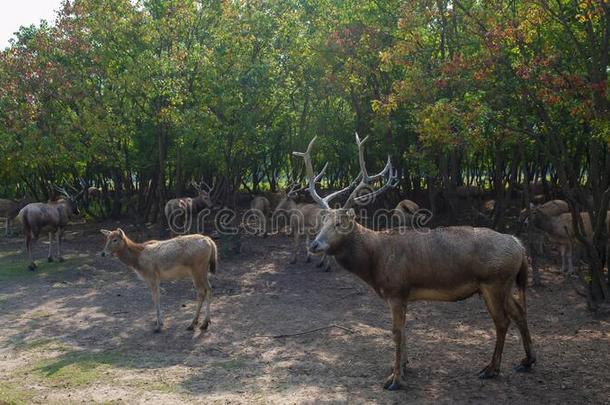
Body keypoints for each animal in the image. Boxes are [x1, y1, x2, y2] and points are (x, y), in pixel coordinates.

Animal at [290, 135, 532, 388]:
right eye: (322, 221)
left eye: (339, 224)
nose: (314, 245)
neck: (374, 262)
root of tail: (518, 245)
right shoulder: (402, 294)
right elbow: (405, 329)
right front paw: (404, 366)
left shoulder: (396, 290)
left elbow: (396, 332)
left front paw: (395, 379)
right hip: (504, 284)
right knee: (519, 311)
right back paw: (527, 361)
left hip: (494, 281)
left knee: (502, 321)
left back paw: (492, 368)